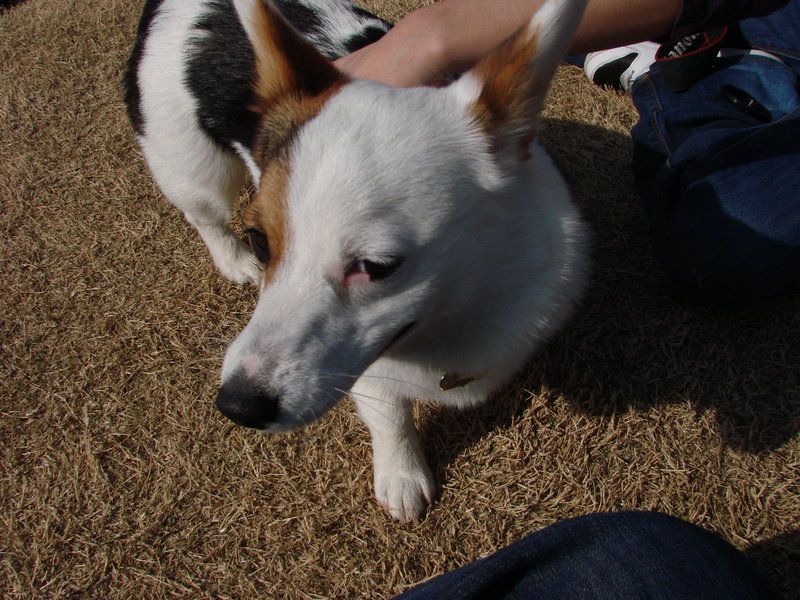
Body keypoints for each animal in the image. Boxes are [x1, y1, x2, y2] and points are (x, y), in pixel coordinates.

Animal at [125, 0, 588, 520]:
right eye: (261, 241)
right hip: (193, 167)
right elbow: (390, 416)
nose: (237, 407)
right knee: (203, 212)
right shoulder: (368, 372)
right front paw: (402, 473)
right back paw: (230, 258)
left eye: (376, 267)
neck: (456, 312)